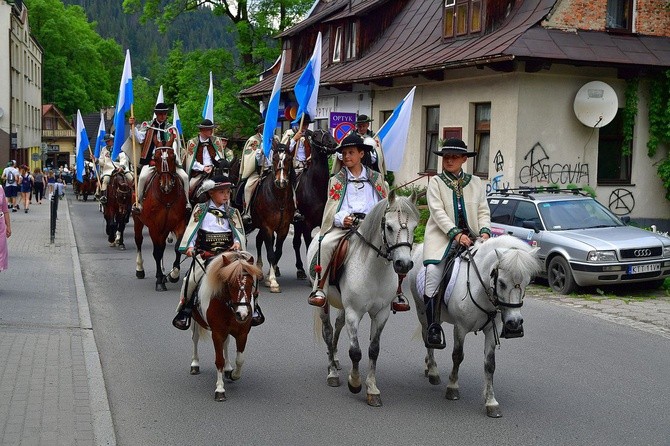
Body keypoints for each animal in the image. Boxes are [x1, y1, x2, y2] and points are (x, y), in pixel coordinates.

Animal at [133, 146, 188, 290]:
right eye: (156, 158)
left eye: (173, 157)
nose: (166, 185)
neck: (166, 198)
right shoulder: (154, 227)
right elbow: (157, 252)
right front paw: (159, 280)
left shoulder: (179, 223)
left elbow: (177, 247)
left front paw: (173, 275)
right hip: (137, 220)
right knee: (139, 241)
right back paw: (140, 270)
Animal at [190, 251, 264, 400]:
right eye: (230, 283)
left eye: (251, 283)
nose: (242, 314)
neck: (228, 306)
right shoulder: (217, 333)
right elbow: (219, 360)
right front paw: (220, 389)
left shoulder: (242, 333)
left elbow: (240, 359)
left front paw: (234, 374)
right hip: (195, 321)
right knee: (195, 339)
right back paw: (195, 363)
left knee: (226, 343)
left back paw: (228, 368)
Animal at [248, 146, 296, 292]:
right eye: (274, 158)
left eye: (289, 159)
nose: (281, 182)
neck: (278, 198)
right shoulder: (267, 227)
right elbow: (270, 253)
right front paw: (273, 281)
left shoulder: (283, 228)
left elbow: (277, 252)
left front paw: (270, 277)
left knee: (258, 240)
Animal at [308, 190, 418, 406]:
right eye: (389, 226)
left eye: (415, 227)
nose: (404, 264)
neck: (374, 270)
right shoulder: (354, 312)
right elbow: (355, 352)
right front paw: (355, 382)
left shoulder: (381, 313)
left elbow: (373, 350)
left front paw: (372, 389)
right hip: (323, 303)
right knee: (328, 331)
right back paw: (332, 372)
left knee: (338, 326)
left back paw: (334, 359)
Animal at [410, 235, 540, 416]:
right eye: (501, 283)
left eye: (527, 282)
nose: (514, 323)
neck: (481, 290)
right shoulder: (460, 328)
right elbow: (457, 356)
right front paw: (452, 388)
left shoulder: (491, 330)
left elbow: (490, 364)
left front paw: (491, 401)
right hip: (422, 311)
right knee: (427, 336)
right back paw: (433, 371)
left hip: (438, 315)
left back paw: (428, 367)